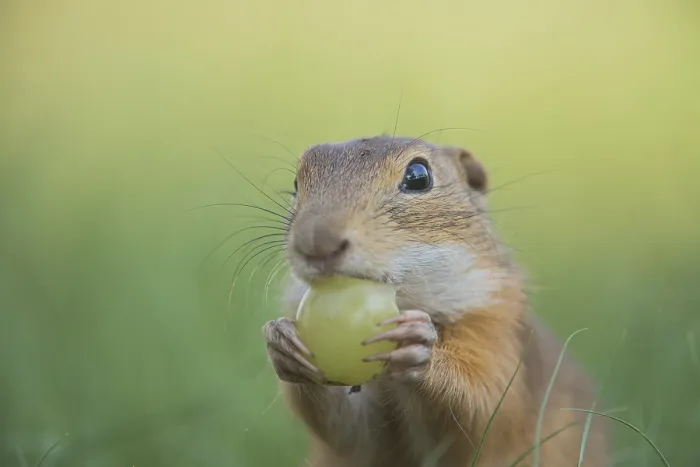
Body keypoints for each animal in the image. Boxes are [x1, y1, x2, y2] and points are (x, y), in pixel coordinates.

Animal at [262, 135, 608, 467]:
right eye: (296, 183)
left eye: (418, 176)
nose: (316, 243)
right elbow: (352, 434)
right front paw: (282, 341)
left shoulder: (497, 332)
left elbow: (481, 408)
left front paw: (419, 346)